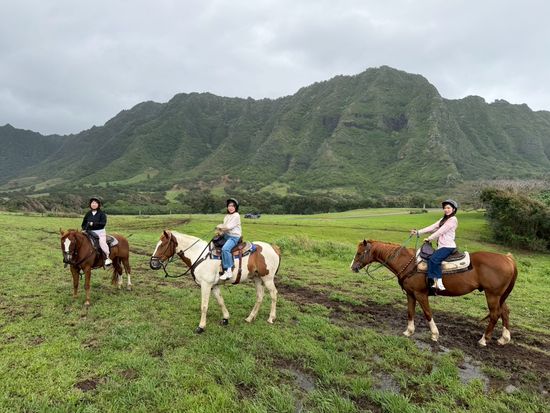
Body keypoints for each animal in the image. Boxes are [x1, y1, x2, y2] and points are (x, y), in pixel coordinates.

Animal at [149, 230, 281, 333]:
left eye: (163, 245)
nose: (152, 264)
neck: (199, 255)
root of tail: (274, 248)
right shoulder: (214, 286)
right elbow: (220, 301)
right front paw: (226, 318)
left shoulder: (206, 285)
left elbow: (204, 306)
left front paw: (201, 326)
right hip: (257, 278)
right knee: (260, 297)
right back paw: (250, 318)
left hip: (267, 278)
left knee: (273, 294)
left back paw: (271, 318)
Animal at [351, 239, 517, 346]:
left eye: (359, 253)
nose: (352, 267)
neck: (408, 263)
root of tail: (508, 259)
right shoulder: (410, 294)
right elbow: (410, 312)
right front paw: (408, 331)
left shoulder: (420, 294)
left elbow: (427, 313)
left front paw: (434, 334)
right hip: (499, 296)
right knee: (505, 311)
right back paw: (504, 338)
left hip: (492, 295)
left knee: (495, 314)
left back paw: (484, 340)